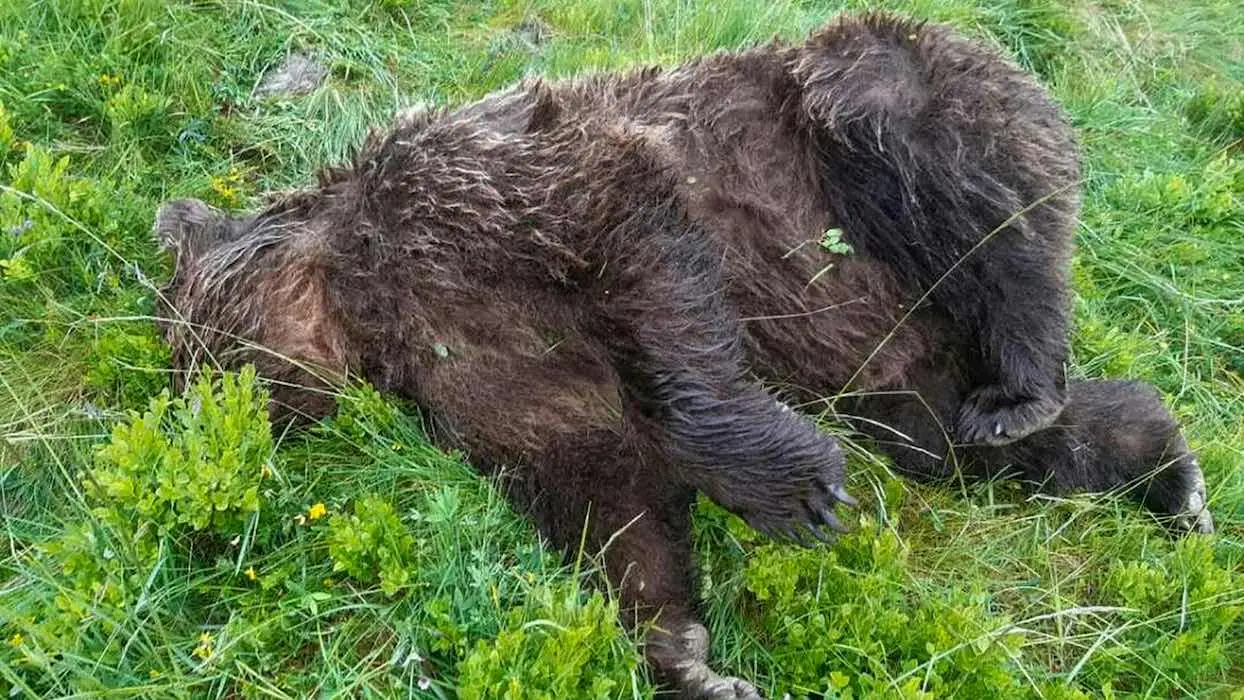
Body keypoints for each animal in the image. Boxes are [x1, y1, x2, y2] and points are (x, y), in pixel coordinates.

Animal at [155, 12, 1214, 700]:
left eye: (193, 347)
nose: (202, 411)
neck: (366, 302)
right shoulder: (477, 371)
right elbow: (601, 485)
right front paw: (689, 657)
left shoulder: (494, 191)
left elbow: (641, 257)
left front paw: (796, 492)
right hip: (900, 366)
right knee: (957, 442)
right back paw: (1161, 469)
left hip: (868, 120)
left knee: (959, 185)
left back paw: (1026, 376)